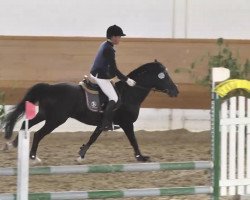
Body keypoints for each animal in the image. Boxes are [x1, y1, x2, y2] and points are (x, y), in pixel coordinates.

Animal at [2, 61, 179, 162]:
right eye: (164, 76)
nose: (176, 91)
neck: (129, 94)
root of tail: (50, 88)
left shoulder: (104, 123)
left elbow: (94, 136)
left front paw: (81, 153)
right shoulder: (127, 123)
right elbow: (133, 140)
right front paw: (141, 157)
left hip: (44, 115)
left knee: (25, 125)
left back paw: (13, 145)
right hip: (56, 119)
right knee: (38, 133)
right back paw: (33, 157)